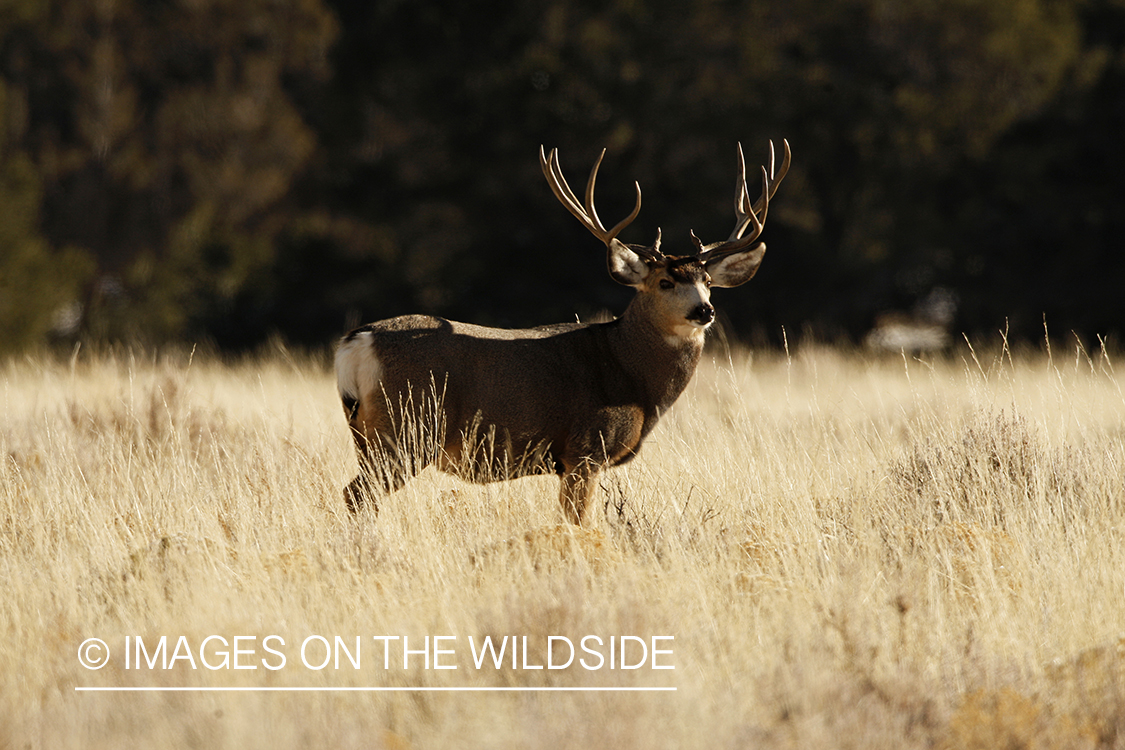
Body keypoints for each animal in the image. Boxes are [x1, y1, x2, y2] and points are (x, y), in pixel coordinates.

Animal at [335, 140, 790, 524]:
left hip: (368, 433)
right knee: (358, 495)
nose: (704, 310)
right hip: (407, 428)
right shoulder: (585, 450)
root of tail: (357, 340)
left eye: (708, 281)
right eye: (664, 282)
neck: (626, 370)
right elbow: (580, 522)